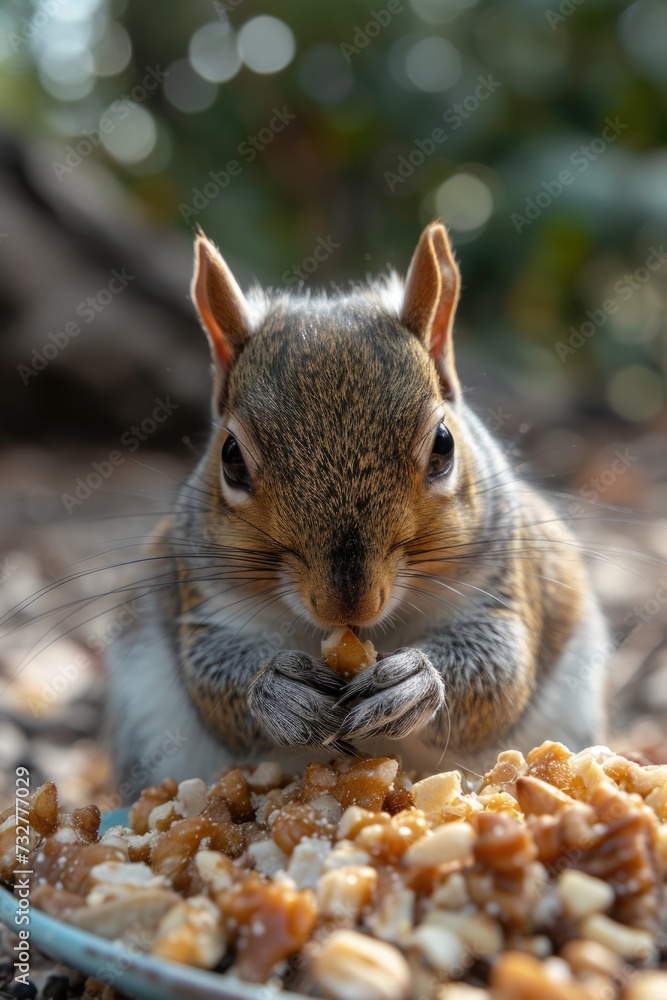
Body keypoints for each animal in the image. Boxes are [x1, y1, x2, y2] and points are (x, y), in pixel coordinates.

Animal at [107, 222, 609, 792]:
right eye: (230, 458)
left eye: (443, 446)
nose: (348, 605)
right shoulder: (209, 600)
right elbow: (213, 677)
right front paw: (278, 691)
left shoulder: (500, 585)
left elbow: (500, 671)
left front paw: (414, 682)